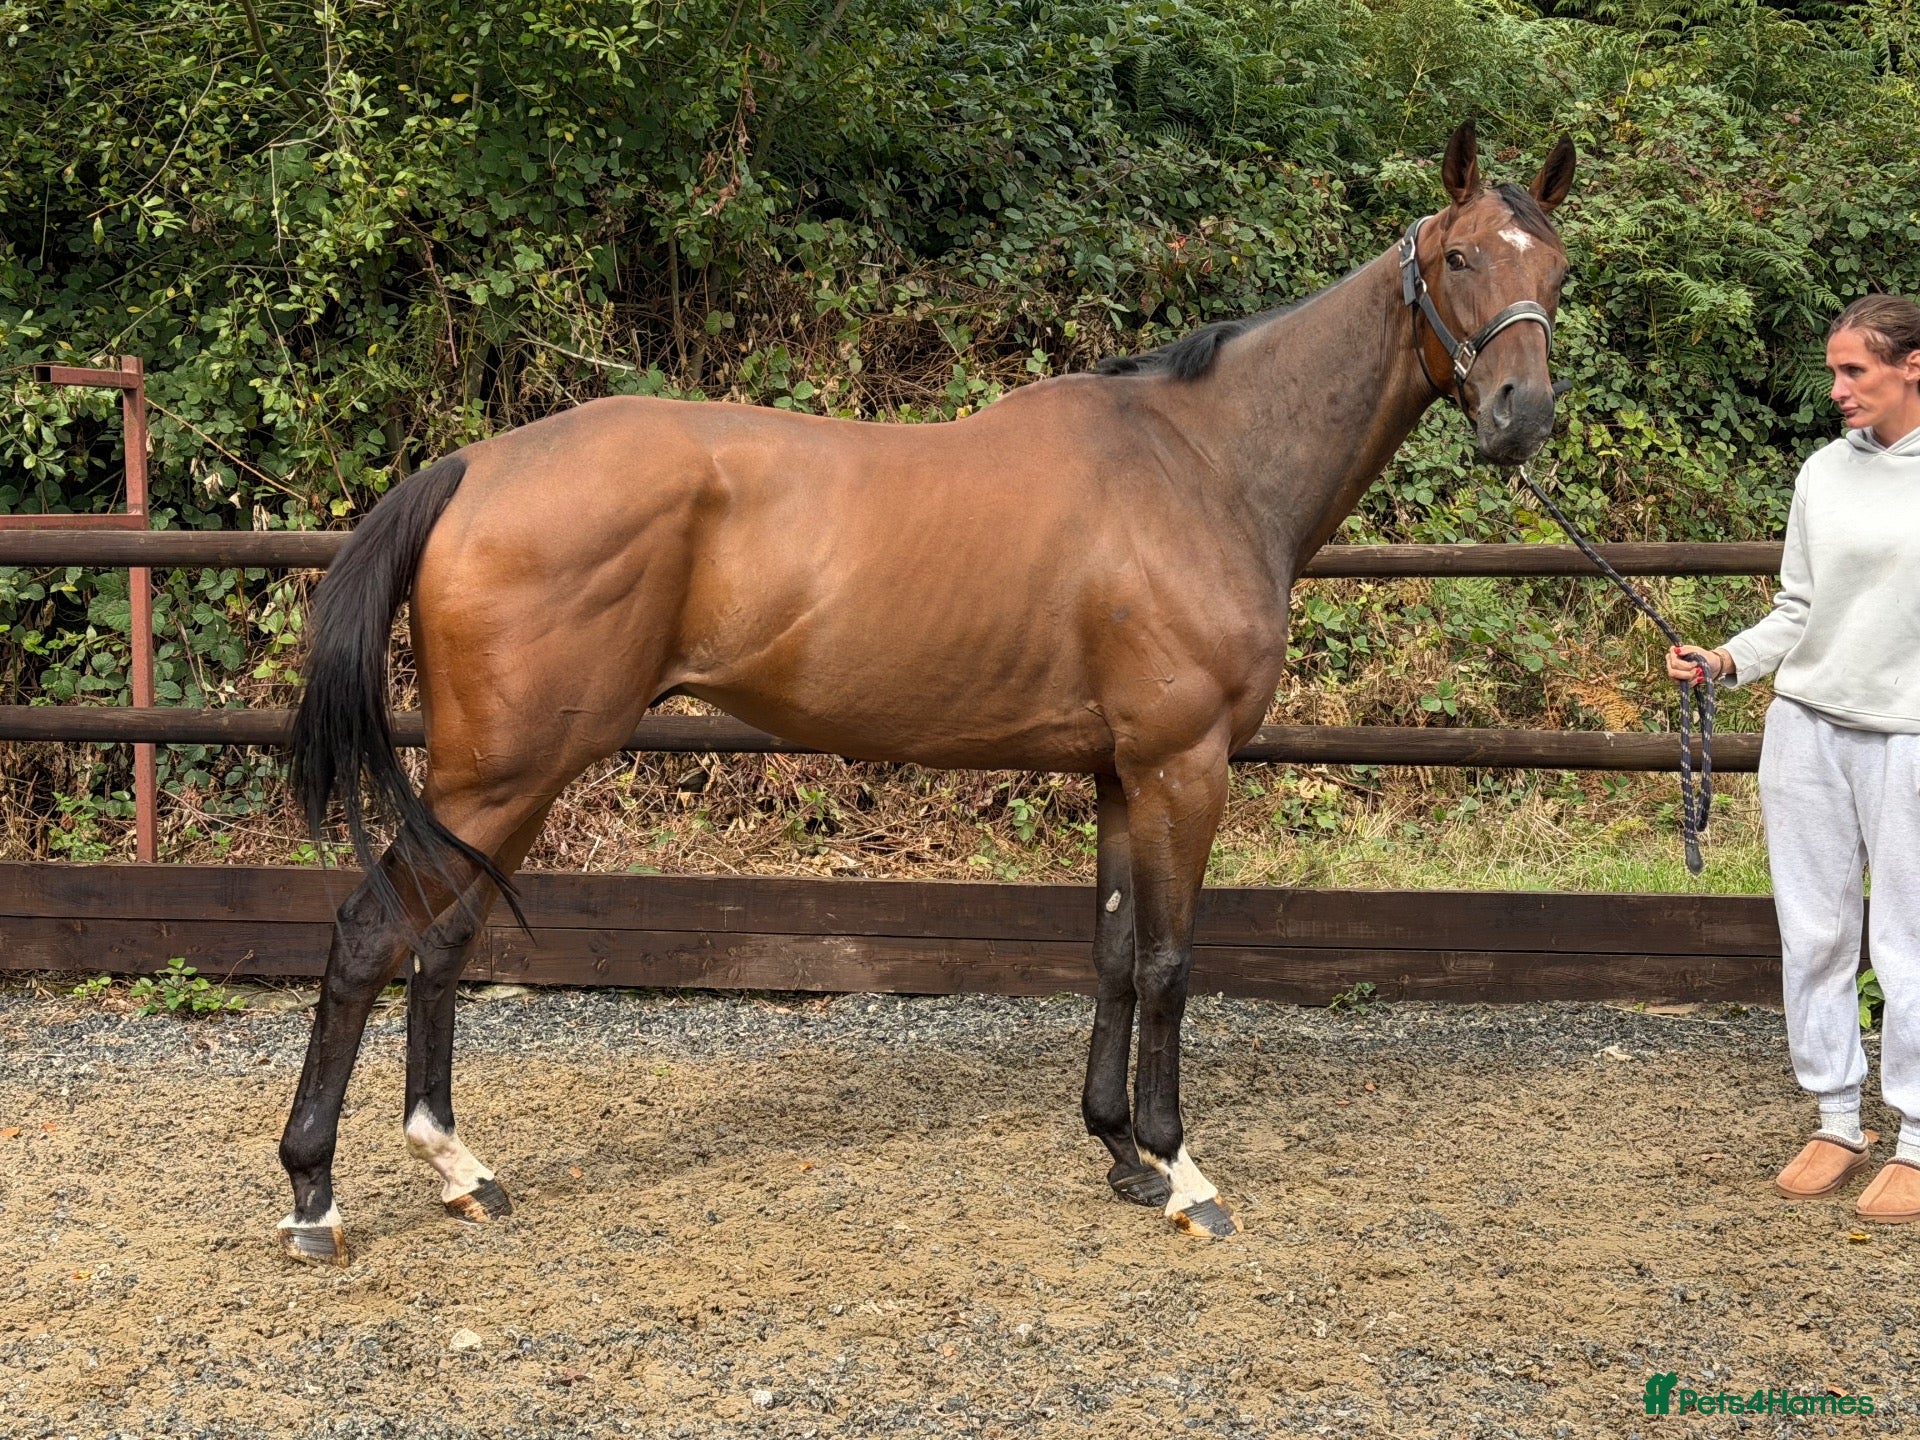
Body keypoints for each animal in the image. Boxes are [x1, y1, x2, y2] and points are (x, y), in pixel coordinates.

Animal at [276, 119, 1576, 1265]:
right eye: (1460, 258)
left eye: (1558, 268)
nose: (1524, 418)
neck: (1204, 466)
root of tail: (472, 467)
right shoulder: (1182, 765)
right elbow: (1169, 960)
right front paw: (1179, 1170)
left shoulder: (1120, 773)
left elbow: (1112, 952)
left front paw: (1118, 1153)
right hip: (504, 774)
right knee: (368, 937)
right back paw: (314, 1200)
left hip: (511, 780)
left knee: (442, 941)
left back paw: (459, 1170)